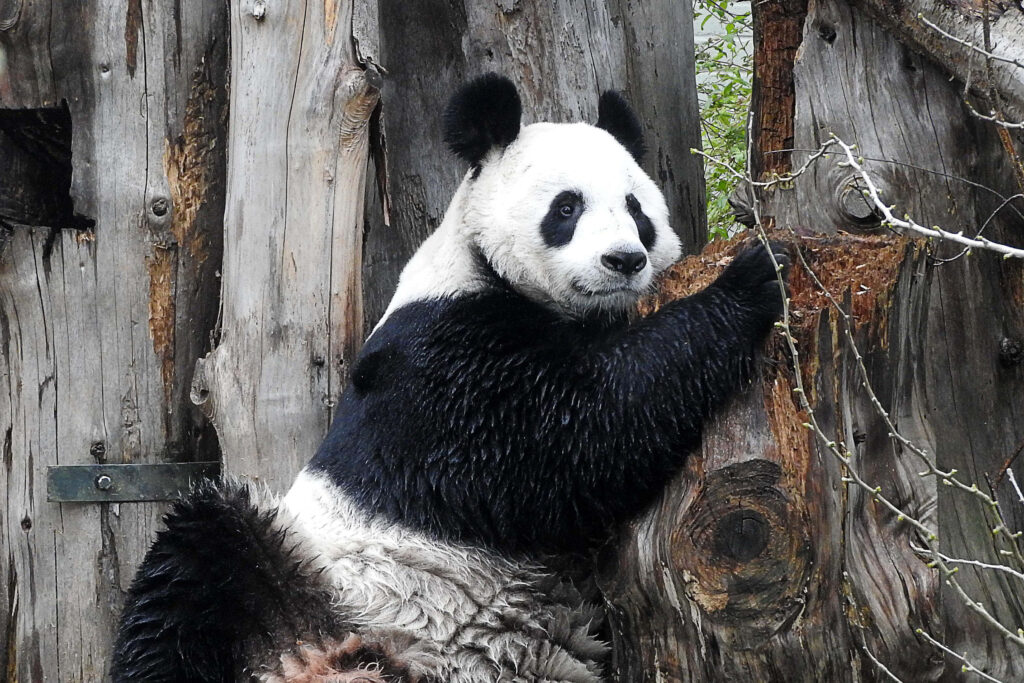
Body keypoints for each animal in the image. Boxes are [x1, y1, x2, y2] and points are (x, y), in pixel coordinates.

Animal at [112, 73, 788, 683]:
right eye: (566, 208)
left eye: (636, 209)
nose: (623, 260)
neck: (487, 269)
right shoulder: (438, 357)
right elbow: (567, 433)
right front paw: (752, 277)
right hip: (299, 569)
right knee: (192, 569)